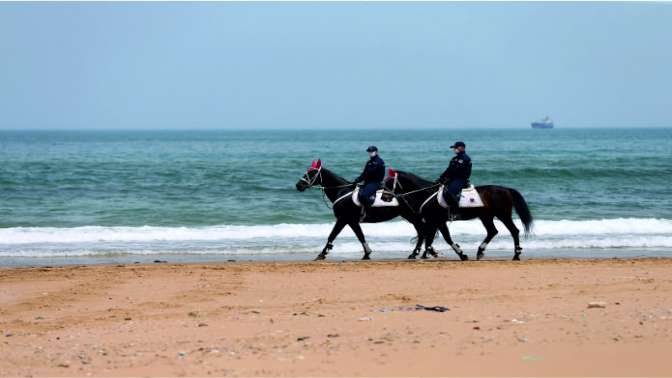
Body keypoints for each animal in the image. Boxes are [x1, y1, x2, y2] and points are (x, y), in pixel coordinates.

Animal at [296, 159, 428, 260]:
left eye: (312, 173)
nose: (298, 185)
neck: (342, 191)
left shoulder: (344, 219)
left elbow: (333, 235)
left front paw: (322, 254)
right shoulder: (351, 221)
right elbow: (360, 236)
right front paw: (367, 254)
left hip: (411, 216)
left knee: (422, 231)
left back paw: (415, 253)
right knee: (422, 231)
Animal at [392, 171, 532, 260]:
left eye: (388, 182)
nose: (387, 196)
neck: (428, 193)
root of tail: (506, 189)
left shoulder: (436, 220)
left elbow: (437, 238)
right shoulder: (438, 221)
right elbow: (438, 239)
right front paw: (458, 253)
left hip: (502, 215)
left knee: (513, 231)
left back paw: (516, 254)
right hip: (486, 216)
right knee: (493, 231)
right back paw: (481, 251)